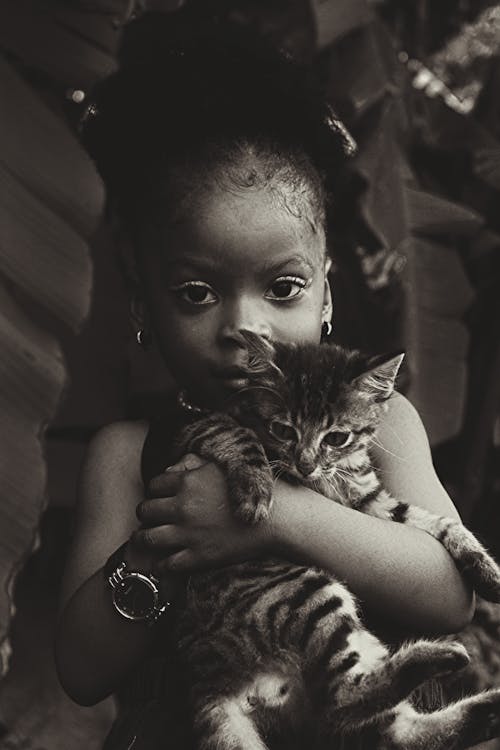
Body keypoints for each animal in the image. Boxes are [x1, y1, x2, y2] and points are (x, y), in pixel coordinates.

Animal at [172, 334, 500, 750]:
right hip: (307, 591)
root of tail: (202, 674)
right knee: (341, 702)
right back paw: (438, 657)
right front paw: (256, 491)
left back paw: (487, 706)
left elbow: (436, 522)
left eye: (337, 437)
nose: (305, 464)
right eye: (283, 430)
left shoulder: (372, 502)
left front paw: (488, 570)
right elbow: (238, 436)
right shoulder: (200, 426)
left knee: (385, 731)